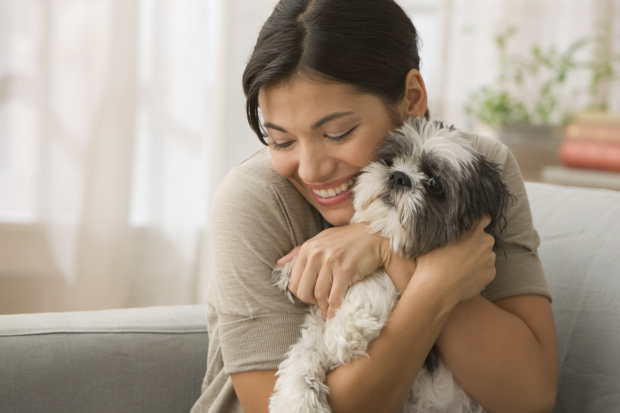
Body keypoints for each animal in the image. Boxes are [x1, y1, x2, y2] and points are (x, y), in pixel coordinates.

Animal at [268, 115, 512, 412]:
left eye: (435, 184)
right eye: (390, 160)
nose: (398, 176)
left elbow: (377, 279)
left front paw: (345, 330)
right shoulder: (317, 323)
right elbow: (303, 356)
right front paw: (296, 400)